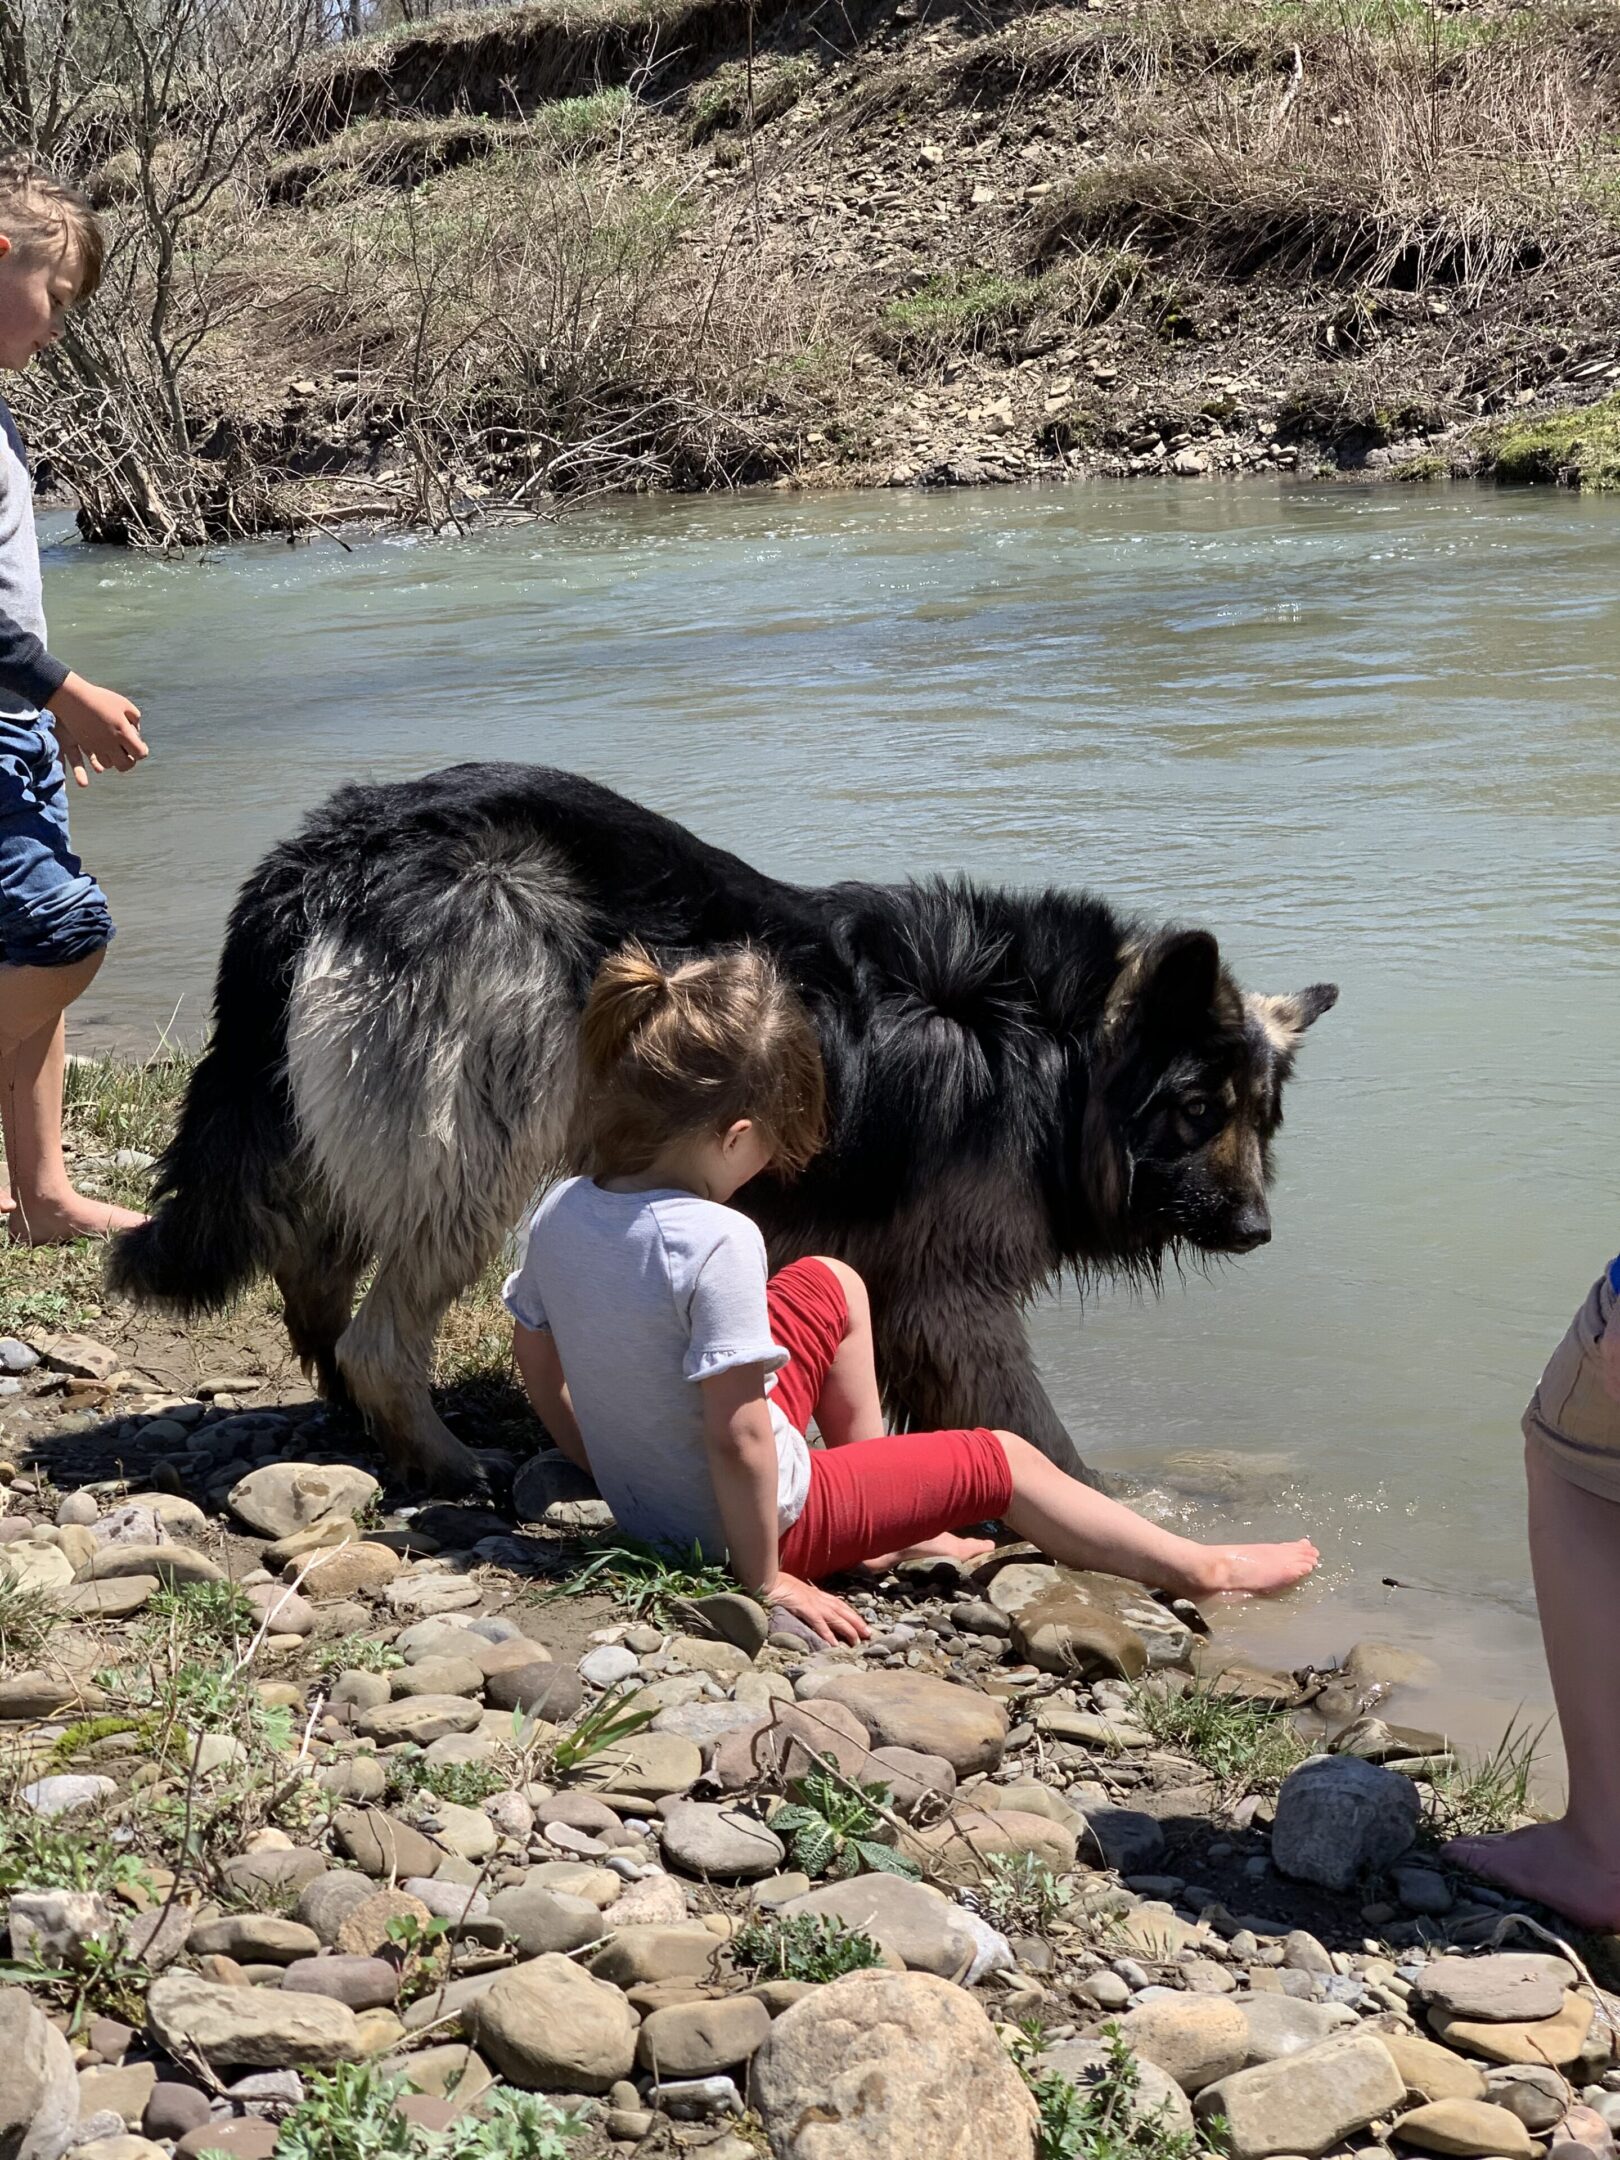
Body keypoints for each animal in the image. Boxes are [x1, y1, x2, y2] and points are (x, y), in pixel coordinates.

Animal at [108, 768, 1339, 1494]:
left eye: (1261, 1117)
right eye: (1197, 1110)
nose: (1256, 1231)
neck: (1057, 1042)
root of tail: (337, 845)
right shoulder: (958, 1294)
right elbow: (1035, 1429)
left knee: (316, 1269)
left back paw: (358, 1419)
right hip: (479, 1142)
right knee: (379, 1328)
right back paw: (443, 1458)